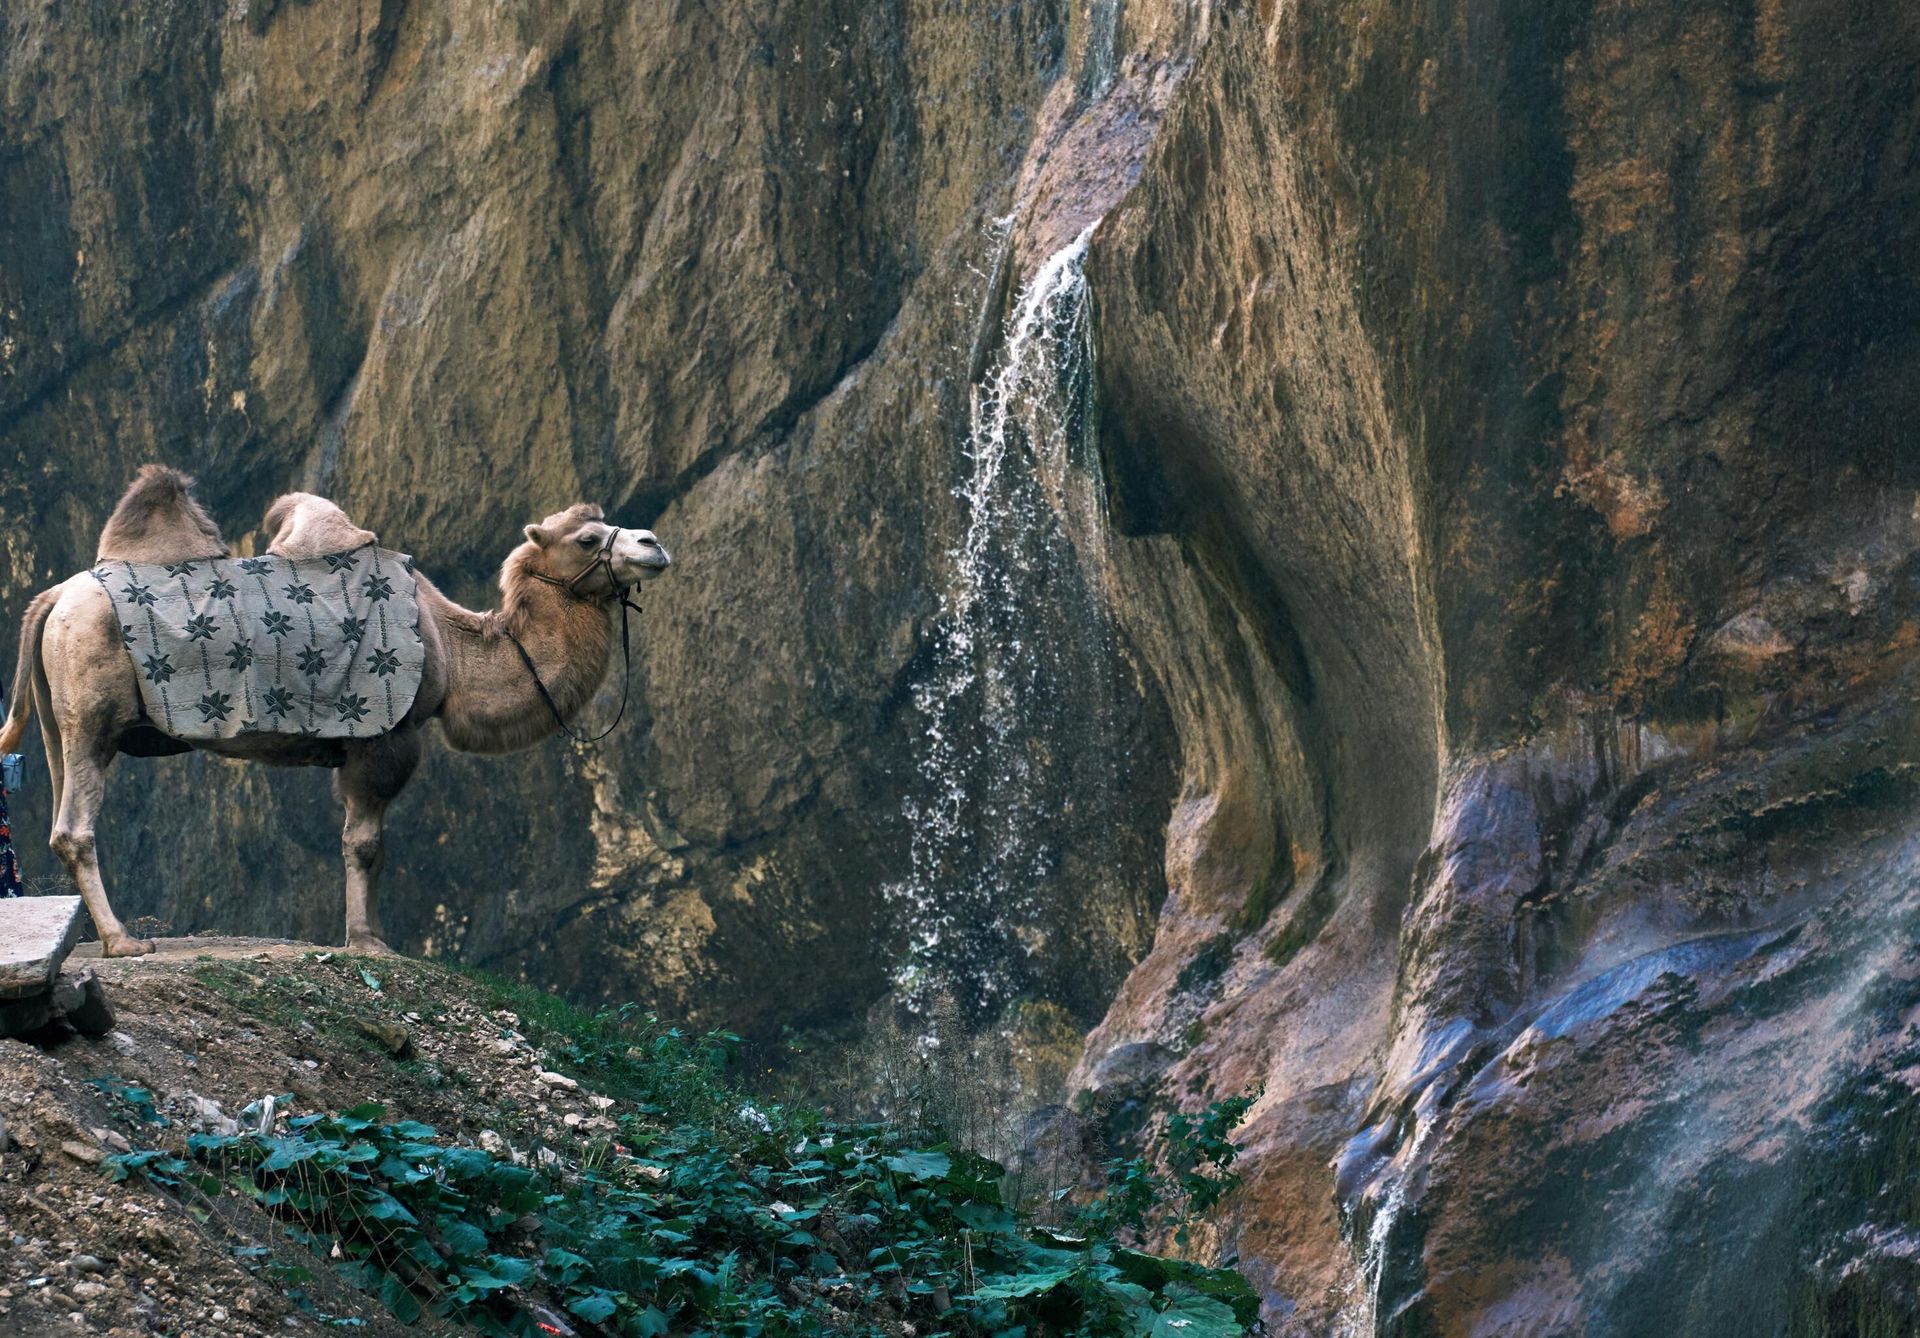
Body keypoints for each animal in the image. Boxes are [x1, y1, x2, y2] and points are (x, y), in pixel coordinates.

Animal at [0, 465, 672, 957]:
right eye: (587, 538)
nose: (654, 544)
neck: (449, 644)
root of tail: (53, 597)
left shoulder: (356, 740)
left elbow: (365, 840)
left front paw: (370, 934)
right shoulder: (387, 734)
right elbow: (366, 842)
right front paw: (368, 942)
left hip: (62, 715)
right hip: (94, 713)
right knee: (75, 827)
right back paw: (124, 943)